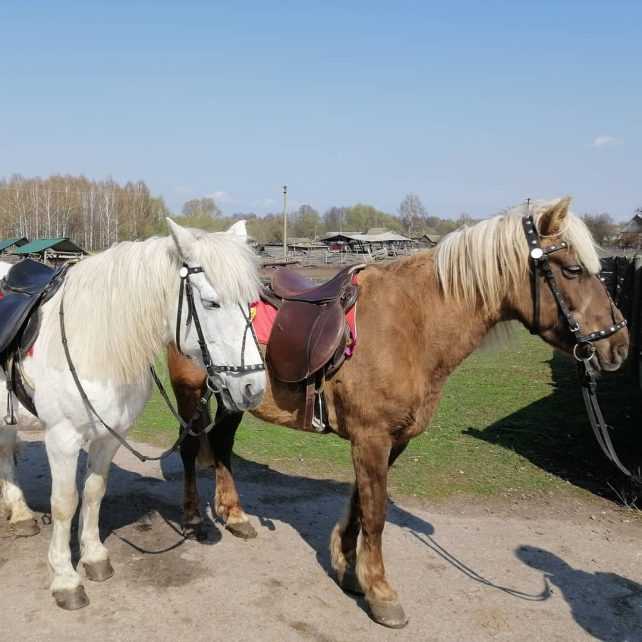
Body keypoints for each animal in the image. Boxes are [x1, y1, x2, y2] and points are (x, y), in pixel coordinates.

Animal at [0, 218, 264, 608]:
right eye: (211, 303)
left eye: (251, 304)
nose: (253, 388)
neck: (93, 340)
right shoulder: (62, 439)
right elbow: (65, 503)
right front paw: (65, 579)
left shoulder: (109, 437)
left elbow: (94, 492)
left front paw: (94, 558)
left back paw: (19, 515)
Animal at [165, 198, 624, 628]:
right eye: (572, 269)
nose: (618, 345)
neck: (412, 324)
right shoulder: (371, 438)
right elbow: (376, 513)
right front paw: (382, 594)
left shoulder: (391, 440)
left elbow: (360, 503)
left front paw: (349, 569)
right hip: (192, 393)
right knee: (189, 450)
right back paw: (193, 518)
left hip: (235, 397)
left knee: (221, 445)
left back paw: (235, 515)